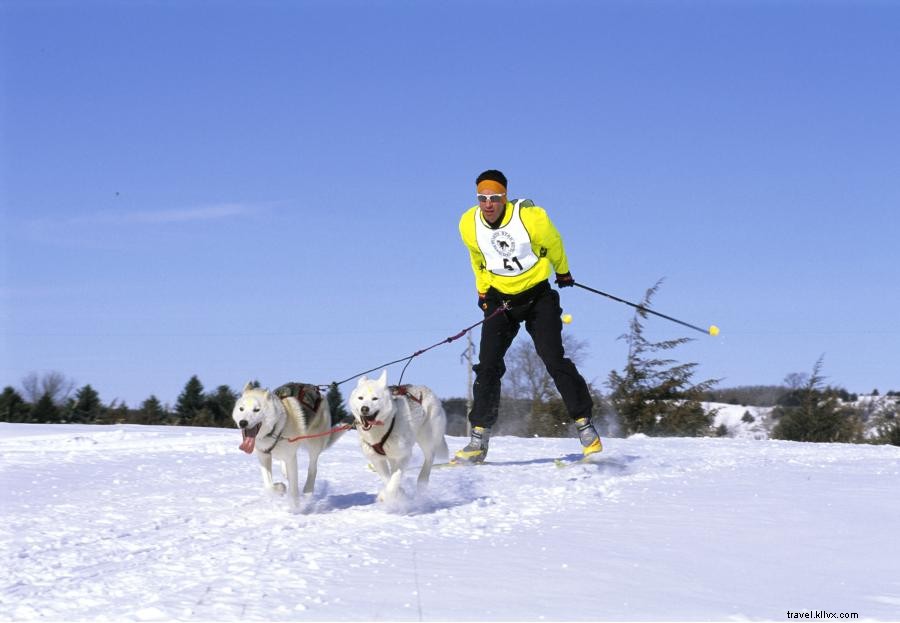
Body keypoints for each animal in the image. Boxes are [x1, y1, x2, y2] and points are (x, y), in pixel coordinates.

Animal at [232, 380, 344, 512]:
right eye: (241, 409)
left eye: (256, 410)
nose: (243, 423)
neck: (274, 430)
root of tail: (318, 391)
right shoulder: (264, 456)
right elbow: (268, 486)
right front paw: (280, 488)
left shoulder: (291, 458)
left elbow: (294, 488)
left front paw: (295, 506)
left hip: (314, 444)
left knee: (312, 468)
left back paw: (308, 488)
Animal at [350, 370, 450, 502]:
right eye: (360, 398)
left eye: (375, 398)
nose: (364, 408)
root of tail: (426, 389)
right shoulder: (377, 459)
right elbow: (387, 478)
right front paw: (399, 492)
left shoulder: (404, 455)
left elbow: (394, 479)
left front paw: (388, 495)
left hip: (426, 438)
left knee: (429, 458)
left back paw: (422, 481)